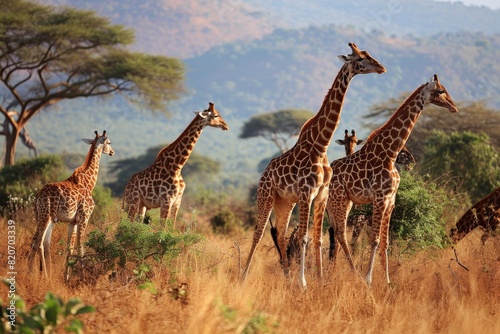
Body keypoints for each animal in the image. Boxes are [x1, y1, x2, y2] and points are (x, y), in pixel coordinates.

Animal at [28, 129, 114, 280]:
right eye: (109, 142)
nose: (112, 152)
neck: (89, 182)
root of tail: (38, 196)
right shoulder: (84, 217)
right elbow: (81, 246)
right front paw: (83, 275)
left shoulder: (72, 221)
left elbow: (70, 248)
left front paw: (66, 277)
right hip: (45, 216)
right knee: (38, 243)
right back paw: (36, 276)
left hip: (45, 217)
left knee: (40, 243)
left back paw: (40, 275)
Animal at [242, 42, 386, 290]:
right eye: (359, 59)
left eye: (368, 54)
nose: (381, 67)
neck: (321, 145)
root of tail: (264, 173)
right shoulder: (306, 193)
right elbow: (304, 237)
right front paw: (304, 283)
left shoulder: (321, 194)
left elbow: (317, 239)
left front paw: (319, 280)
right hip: (266, 195)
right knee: (258, 233)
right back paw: (243, 276)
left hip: (285, 201)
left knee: (280, 234)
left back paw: (286, 278)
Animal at [326, 74, 458, 286]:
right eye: (440, 91)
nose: (454, 107)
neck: (390, 153)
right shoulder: (380, 197)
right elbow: (375, 239)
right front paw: (369, 279)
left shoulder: (391, 200)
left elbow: (385, 241)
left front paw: (387, 281)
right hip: (339, 200)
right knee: (340, 233)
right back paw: (354, 273)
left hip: (341, 202)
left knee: (335, 233)